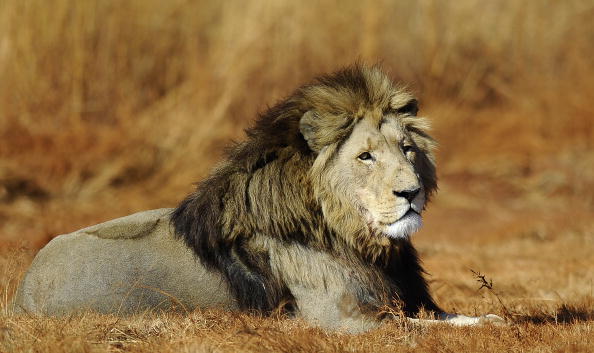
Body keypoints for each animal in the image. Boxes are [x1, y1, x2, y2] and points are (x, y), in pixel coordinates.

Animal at [11, 64, 502, 332]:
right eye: (365, 156)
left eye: (407, 149)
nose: (411, 192)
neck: (358, 239)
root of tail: (22, 290)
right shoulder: (344, 321)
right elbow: (423, 331)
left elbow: (450, 319)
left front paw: (493, 321)